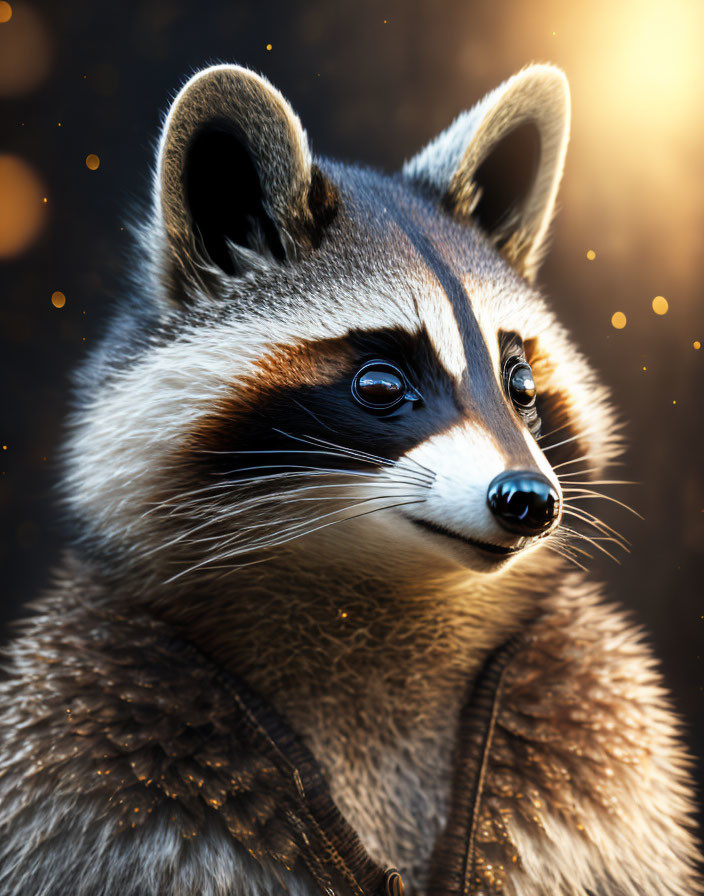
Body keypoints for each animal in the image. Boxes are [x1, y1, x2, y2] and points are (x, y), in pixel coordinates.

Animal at [1, 65, 704, 896]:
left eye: (522, 385)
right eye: (379, 384)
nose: (529, 500)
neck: (376, 604)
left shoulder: (607, 732)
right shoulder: (84, 759)